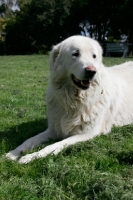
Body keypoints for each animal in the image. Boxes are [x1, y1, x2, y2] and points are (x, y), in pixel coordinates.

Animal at [6, 36, 133, 164]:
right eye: (75, 54)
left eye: (94, 56)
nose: (92, 71)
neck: (73, 100)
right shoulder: (54, 129)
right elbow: (30, 140)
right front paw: (14, 153)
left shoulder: (88, 133)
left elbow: (56, 145)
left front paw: (32, 156)